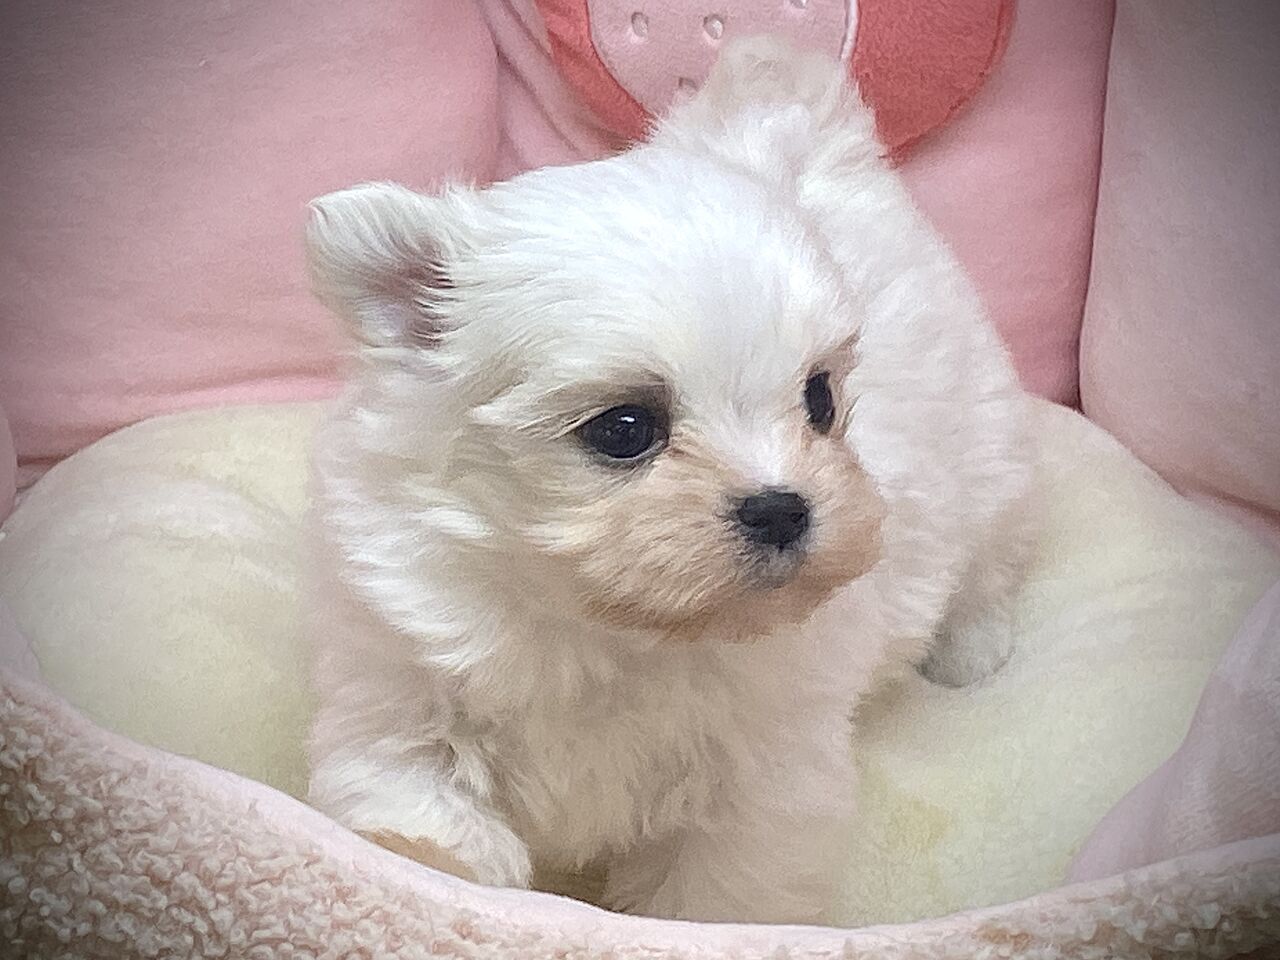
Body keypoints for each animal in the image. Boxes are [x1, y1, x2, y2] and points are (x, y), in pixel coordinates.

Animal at [303, 37, 1033, 924]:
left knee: (989, 560)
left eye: (820, 399)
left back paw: (971, 650)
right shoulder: (397, 705)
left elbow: (710, 904)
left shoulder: (755, 797)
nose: (783, 509)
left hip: (989, 450)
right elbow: (423, 825)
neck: (610, 629)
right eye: (624, 431)